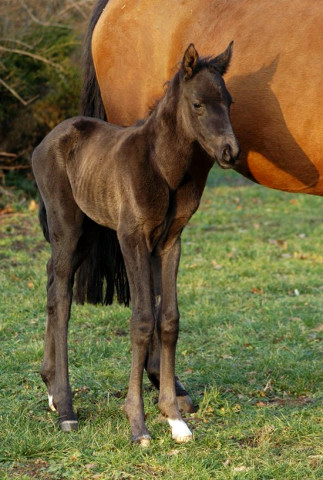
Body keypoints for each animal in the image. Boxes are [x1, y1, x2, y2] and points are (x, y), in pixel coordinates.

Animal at [32, 43, 240, 444]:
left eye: (229, 101)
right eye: (197, 104)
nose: (230, 151)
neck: (163, 166)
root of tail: (47, 140)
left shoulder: (171, 240)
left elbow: (169, 319)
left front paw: (175, 418)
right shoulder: (132, 238)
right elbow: (142, 320)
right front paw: (138, 424)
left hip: (89, 231)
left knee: (51, 280)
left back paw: (50, 389)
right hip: (68, 225)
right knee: (61, 297)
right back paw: (65, 407)